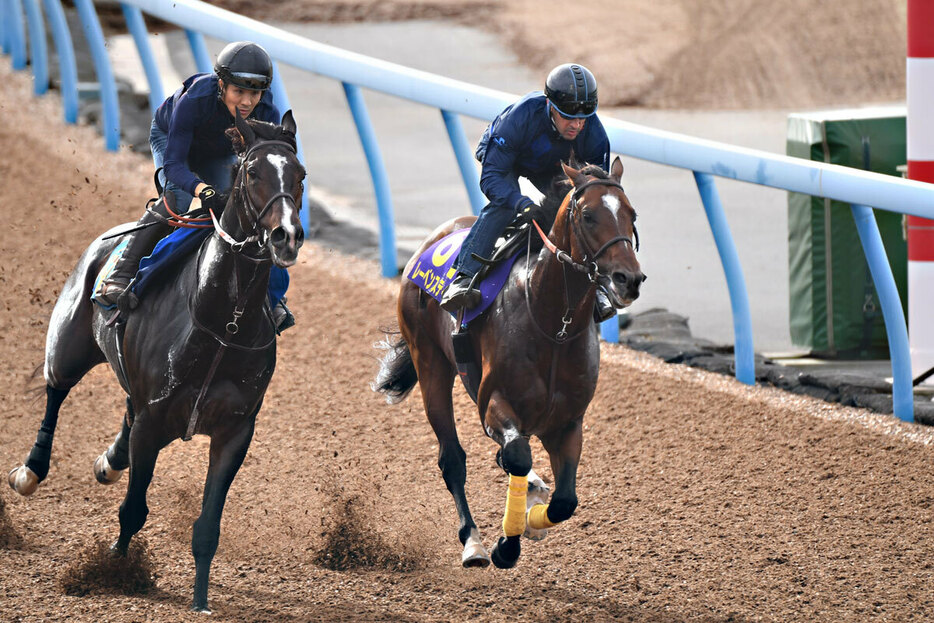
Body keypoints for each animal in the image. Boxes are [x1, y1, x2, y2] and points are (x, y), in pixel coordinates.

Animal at [8, 109, 308, 612]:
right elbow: (133, 509)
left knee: (123, 417)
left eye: (300, 175)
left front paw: (201, 599)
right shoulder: (154, 417)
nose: (285, 236)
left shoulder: (234, 430)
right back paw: (31, 470)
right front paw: (113, 571)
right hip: (69, 346)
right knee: (56, 391)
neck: (223, 325)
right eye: (251, 172)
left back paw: (111, 459)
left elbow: (207, 527)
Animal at [376, 157, 648, 572]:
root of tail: (432, 239)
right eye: (588, 216)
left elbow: (565, 501)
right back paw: (473, 543)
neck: (554, 327)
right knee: (452, 458)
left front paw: (532, 520)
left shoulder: (568, 422)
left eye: (631, 214)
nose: (628, 279)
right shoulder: (494, 403)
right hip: (430, 363)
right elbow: (516, 455)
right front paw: (507, 543)